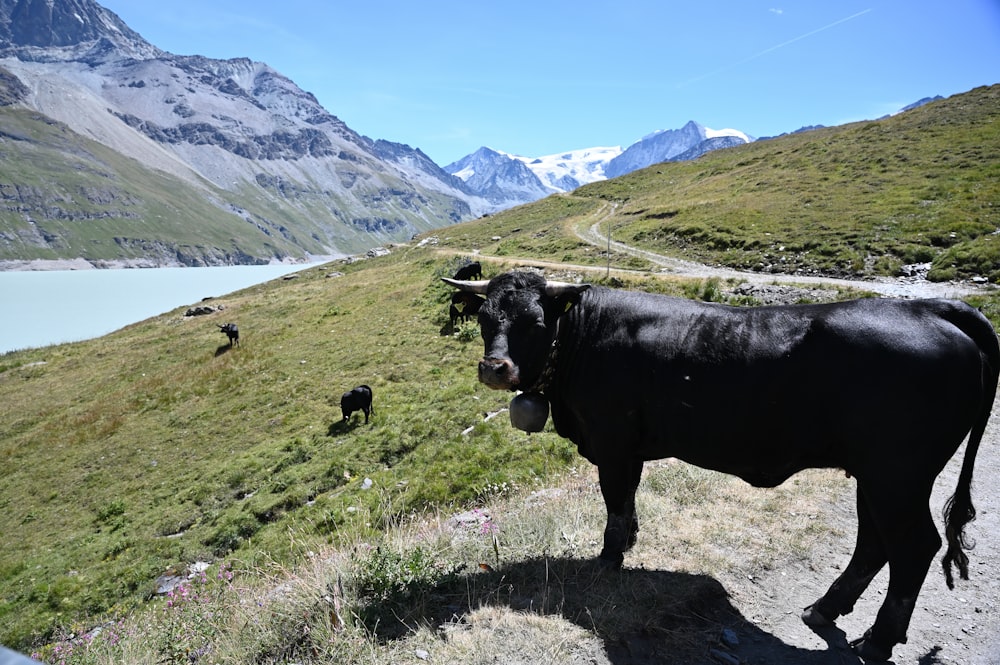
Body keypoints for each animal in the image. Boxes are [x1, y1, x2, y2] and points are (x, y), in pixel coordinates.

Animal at [448, 270, 1000, 660]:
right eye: (484, 319)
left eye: (536, 322)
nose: (494, 368)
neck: (582, 338)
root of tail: (931, 308)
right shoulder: (630, 447)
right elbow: (629, 500)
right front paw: (629, 543)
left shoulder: (612, 441)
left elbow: (615, 500)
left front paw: (608, 558)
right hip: (877, 475)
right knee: (873, 542)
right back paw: (823, 610)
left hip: (897, 475)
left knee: (913, 547)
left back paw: (879, 638)